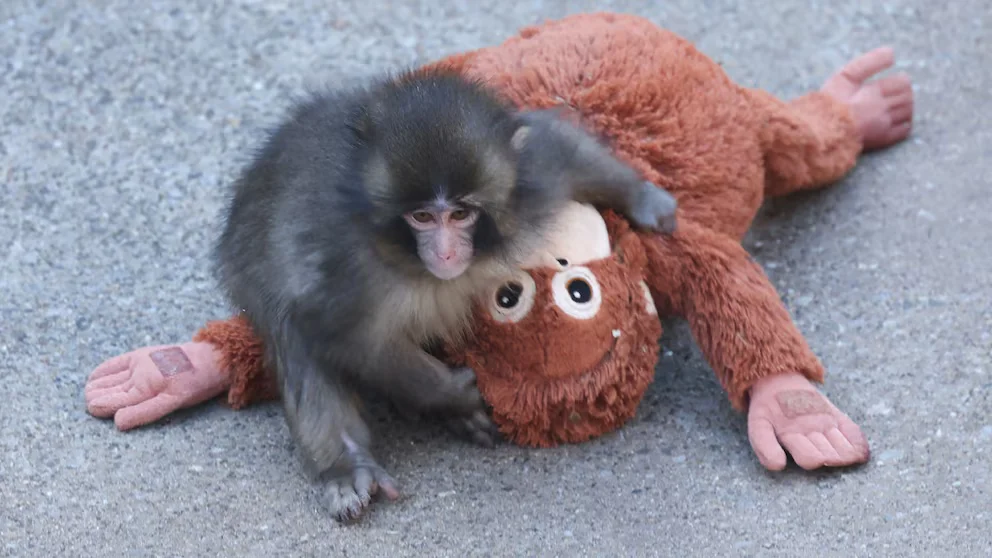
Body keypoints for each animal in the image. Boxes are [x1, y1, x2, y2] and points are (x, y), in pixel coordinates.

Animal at [212, 69, 678, 522]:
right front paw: (455, 394)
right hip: (247, 271)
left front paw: (644, 198)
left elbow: (559, 147)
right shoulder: (344, 268)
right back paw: (347, 464)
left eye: (460, 213)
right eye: (421, 217)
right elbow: (349, 339)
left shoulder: (530, 180)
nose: (446, 252)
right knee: (292, 333)